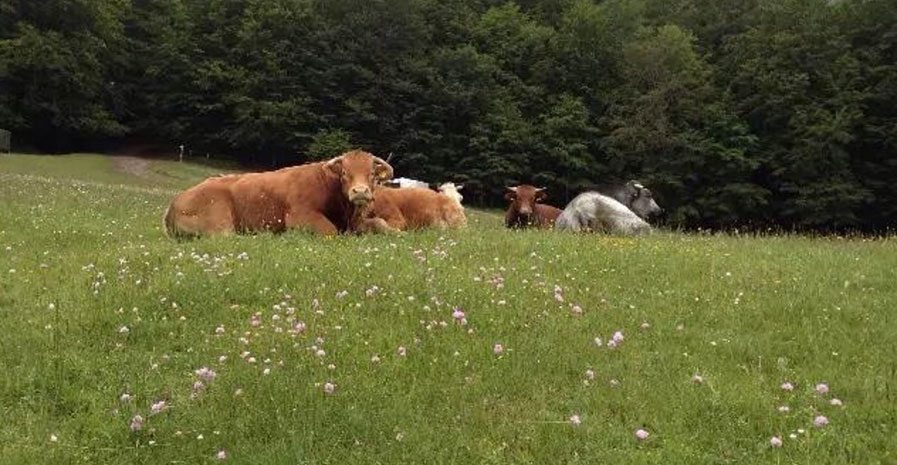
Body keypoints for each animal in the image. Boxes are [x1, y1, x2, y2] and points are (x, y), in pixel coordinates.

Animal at [162, 150, 400, 237]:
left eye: (372, 173)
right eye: (344, 173)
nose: (360, 191)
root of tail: (174, 202)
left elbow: (379, 223)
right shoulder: (300, 216)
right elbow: (329, 230)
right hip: (219, 217)